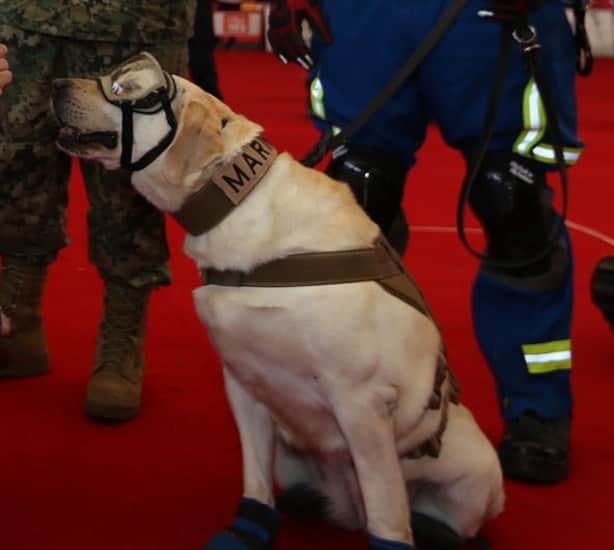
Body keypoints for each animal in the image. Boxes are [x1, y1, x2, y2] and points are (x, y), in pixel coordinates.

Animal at [51, 52, 506, 550]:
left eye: (124, 88)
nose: (54, 84)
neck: (235, 203)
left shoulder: (361, 403)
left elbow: (387, 514)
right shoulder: (244, 381)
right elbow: (255, 478)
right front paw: (249, 527)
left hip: (474, 468)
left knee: (446, 517)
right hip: (293, 450)